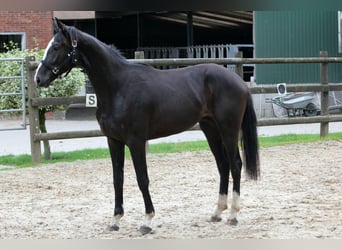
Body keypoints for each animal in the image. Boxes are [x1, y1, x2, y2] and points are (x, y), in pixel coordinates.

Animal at [34, 19, 260, 234]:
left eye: (56, 46)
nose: (38, 78)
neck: (118, 87)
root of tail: (239, 81)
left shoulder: (136, 141)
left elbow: (142, 179)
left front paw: (147, 221)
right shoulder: (113, 141)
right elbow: (118, 179)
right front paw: (115, 220)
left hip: (228, 130)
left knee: (235, 164)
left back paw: (233, 215)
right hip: (210, 129)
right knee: (223, 165)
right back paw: (217, 212)